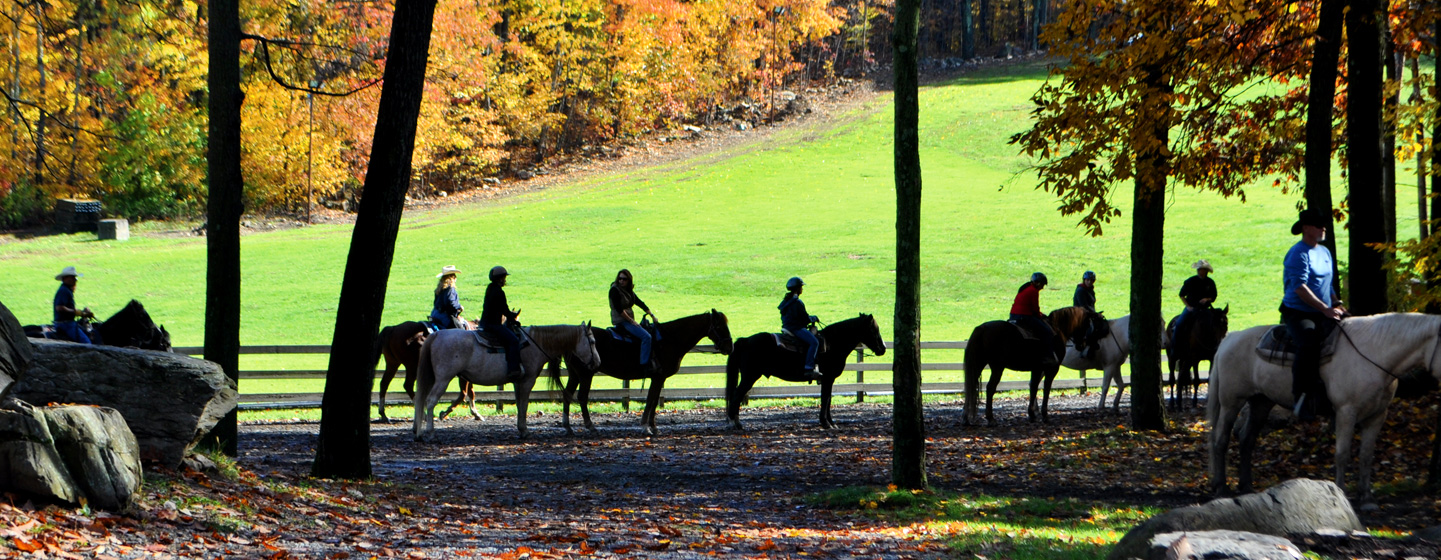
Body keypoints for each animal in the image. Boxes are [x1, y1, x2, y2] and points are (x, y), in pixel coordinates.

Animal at [415, 322, 599, 440]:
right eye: (592, 341)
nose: (597, 362)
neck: (535, 343)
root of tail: (436, 334)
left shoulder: (517, 382)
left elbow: (518, 404)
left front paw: (520, 428)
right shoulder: (527, 381)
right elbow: (524, 404)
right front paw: (524, 431)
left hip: (433, 378)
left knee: (422, 400)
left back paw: (417, 432)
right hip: (443, 379)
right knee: (430, 401)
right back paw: (430, 432)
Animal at [550, 309, 732, 437]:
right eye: (719, 326)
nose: (729, 347)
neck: (670, 340)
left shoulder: (659, 378)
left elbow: (654, 400)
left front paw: (653, 426)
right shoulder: (658, 377)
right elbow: (650, 399)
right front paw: (646, 427)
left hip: (574, 375)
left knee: (567, 395)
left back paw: (568, 427)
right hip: (586, 374)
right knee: (581, 397)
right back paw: (591, 426)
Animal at [726, 312, 881, 428]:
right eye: (874, 329)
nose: (883, 348)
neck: (832, 344)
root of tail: (745, 340)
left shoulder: (828, 380)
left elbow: (828, 398)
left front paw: (831, 423)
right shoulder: (828, 378)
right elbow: (826, 399)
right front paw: (826, 423)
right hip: (749, 377)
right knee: (736, 396)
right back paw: (736, 424)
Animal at [1204, 313, 1441, 500]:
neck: (1372, 352)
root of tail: (1230, 338)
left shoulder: (1377, 416)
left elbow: (1366, 455)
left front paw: (1366, 497)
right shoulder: (1346, 411)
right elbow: (1342, 454)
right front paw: (1342, 492)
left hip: (1261, 402)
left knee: (1247, 439)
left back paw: (1246, 486)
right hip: (1231, 402)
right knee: (1220, 440)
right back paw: (1221, 487)